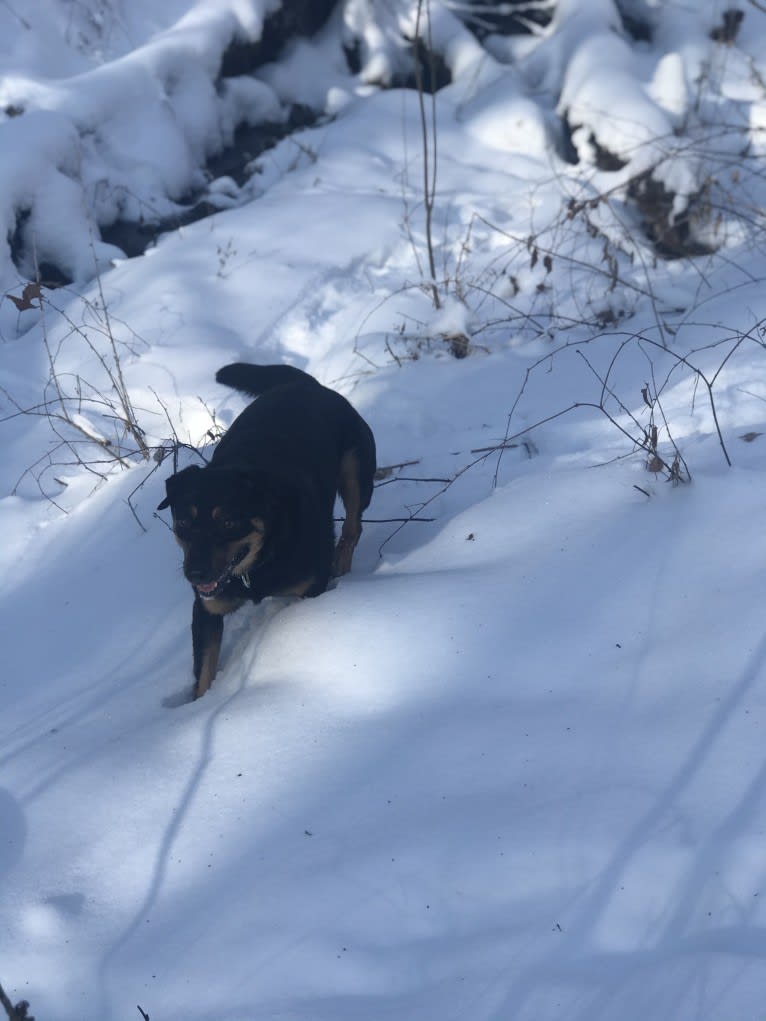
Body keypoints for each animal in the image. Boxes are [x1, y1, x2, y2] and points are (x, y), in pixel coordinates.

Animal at [158, 361, 377, 702]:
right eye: (183, 523)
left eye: (228, 522)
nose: (195, 574)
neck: (257, 566)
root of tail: (306, 383)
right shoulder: (206, 609)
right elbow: (204, 670)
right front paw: (199, 706)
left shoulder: (310, 587)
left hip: (357, 467)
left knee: (354, 524)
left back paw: (341, 563)